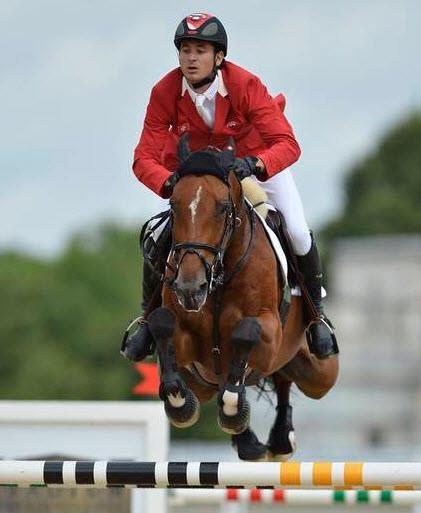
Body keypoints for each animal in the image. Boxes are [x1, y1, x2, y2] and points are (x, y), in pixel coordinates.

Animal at [148, 137, 338, 460]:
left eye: (223, 208)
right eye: (174, 205)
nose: (189, 287)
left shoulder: (269, 335)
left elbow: (245, 332)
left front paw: (234, 406)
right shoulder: (188, 349)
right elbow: (161, 322)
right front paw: (178, 400)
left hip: (320, 374)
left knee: (284, 378)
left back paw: (279, 438)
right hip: (203, 383)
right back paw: (250, 441)